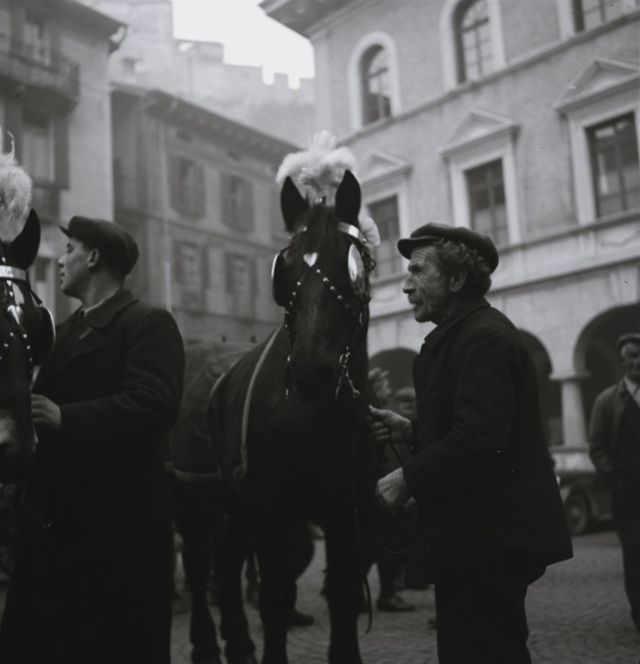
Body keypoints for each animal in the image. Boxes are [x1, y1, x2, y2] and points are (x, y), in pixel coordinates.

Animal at [208, 169, 377, 664]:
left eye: (353, 265)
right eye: (285, 269)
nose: (309, 370)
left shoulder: (346, 513)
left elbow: (343, 594)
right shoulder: (270, 509)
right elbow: (275, 596)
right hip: (226, 501)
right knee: (226, 564)